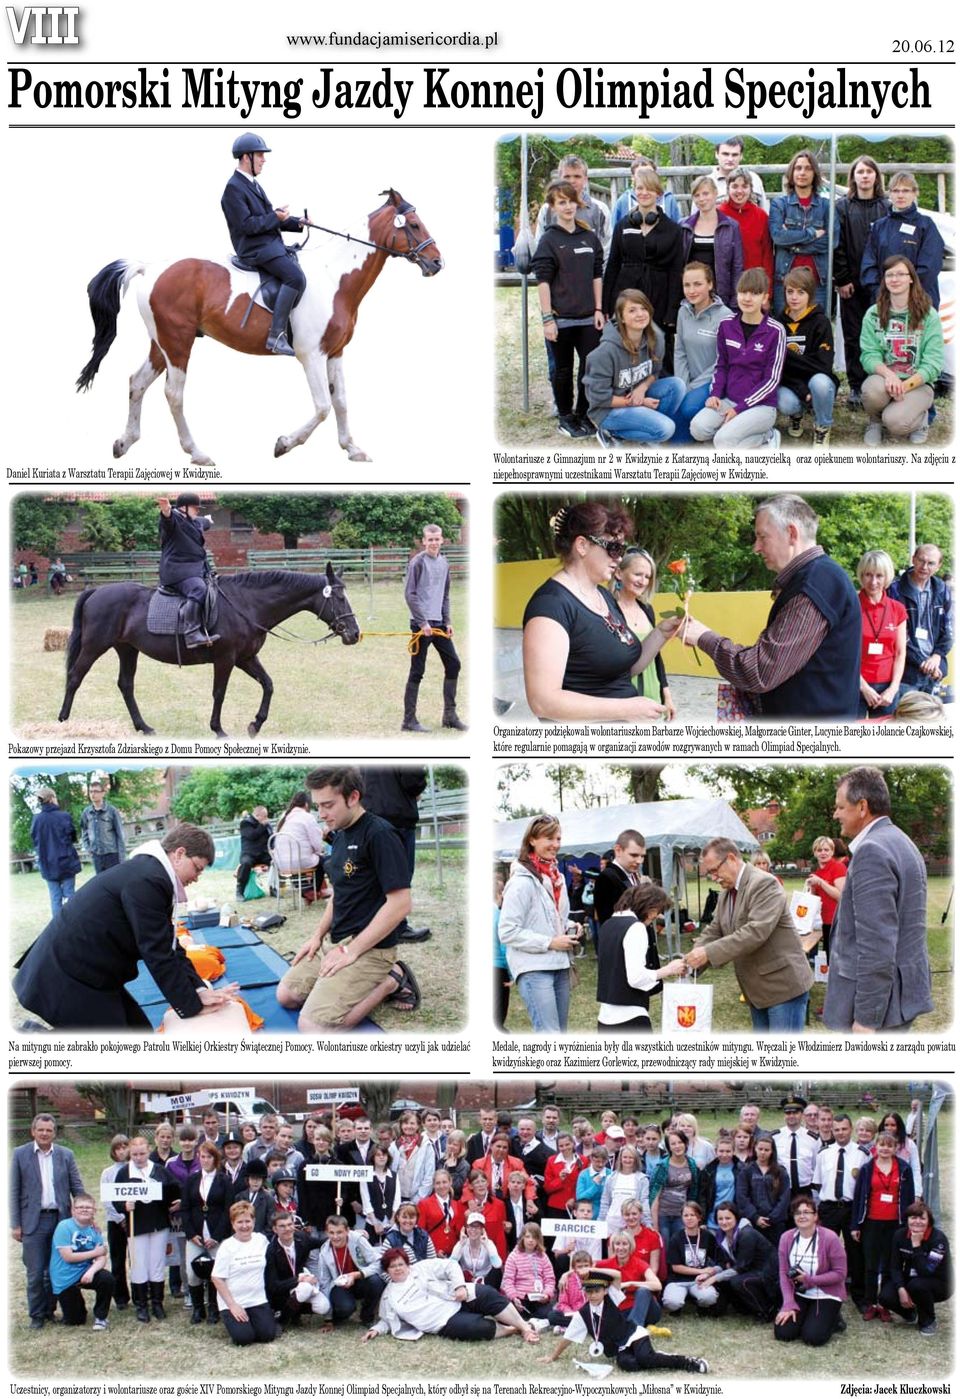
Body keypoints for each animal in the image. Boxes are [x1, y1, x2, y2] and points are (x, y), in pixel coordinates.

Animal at [59, 567, 361, 744]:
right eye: (339, 598)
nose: (354, 634)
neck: (246, 604)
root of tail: (96, 591)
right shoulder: (225, 659)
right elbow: (219, 693)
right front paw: (218, 729)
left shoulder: (246, 658)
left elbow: (268, 685)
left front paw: (256, 724)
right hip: (95, 646)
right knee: (75, 677)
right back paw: (63, 721)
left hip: (127, 649)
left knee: (125, 685)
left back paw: (143, 727)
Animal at [76, 190, 445, 464]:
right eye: (414, 224)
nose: (437, 263)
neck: (335, 277)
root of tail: (147, 268)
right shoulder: (311, 354)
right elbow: (323, 406)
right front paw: (284, 443)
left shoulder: (335, 352)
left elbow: (340, 401)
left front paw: (352, 448)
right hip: (178, 342)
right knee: (174, 394)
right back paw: (197, 453)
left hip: (161, 344)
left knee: (137, 382)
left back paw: (124, 442)